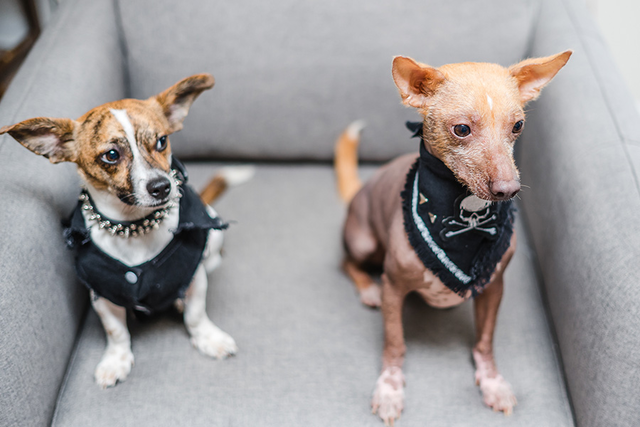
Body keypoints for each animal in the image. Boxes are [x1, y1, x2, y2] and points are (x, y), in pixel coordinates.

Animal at [2, 75, 252, 390]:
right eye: (111, 155)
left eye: (161, 141)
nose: (162, 187)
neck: (134, 226)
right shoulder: (102, 294)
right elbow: (116, 332)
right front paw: (116, 361)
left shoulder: (194, 275)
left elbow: (196, 314)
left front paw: (208, 338)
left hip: (214, 235)